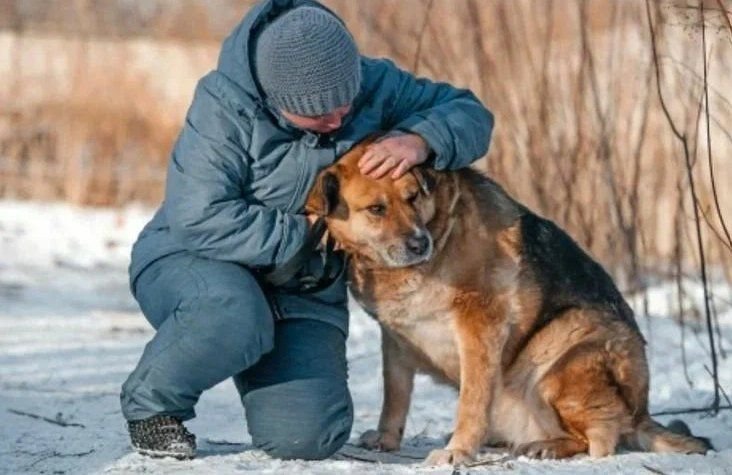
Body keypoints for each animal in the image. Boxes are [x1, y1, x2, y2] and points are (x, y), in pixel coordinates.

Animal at [306, 138, 712, 464]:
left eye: (413, 197)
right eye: (376, 209)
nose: (420, 244)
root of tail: (641, 412)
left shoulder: (479, 325)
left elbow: (471, 402)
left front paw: (458, 451)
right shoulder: (396, 338)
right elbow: (395, 395)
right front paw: (386, 439)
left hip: (560, 358)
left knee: (600, 438)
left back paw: (547, 446)